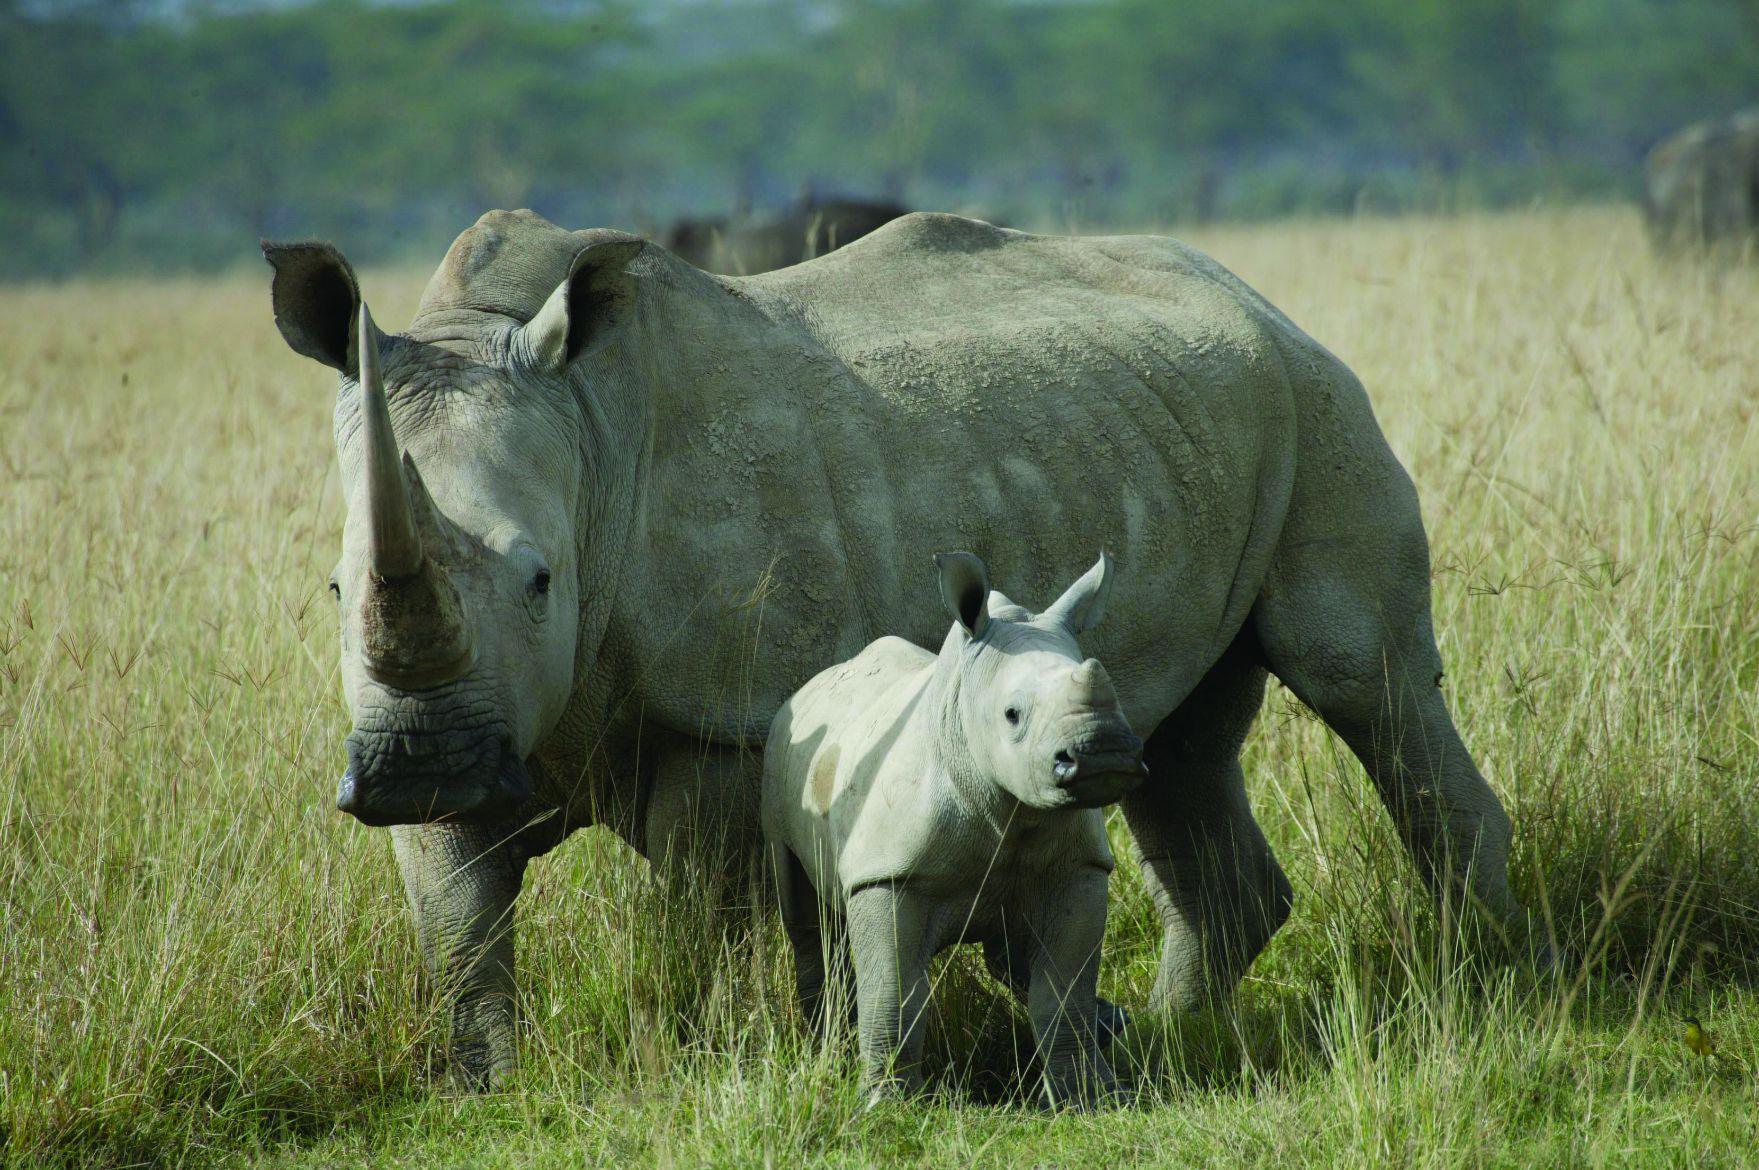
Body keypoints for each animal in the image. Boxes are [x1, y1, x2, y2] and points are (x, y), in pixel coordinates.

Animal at [765, 550, 1143, 1107]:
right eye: (1012, 715)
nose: (1104, 753)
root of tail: (810, 685)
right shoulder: (888, 875)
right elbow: (895, 994)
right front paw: (886, 1103)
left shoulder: (1078, 867)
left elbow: (1062, 993)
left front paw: (1092, 1099)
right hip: (782, 753)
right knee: (807, 923)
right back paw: (825, 1049)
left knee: (1014, 959)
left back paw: (1110, 1035)